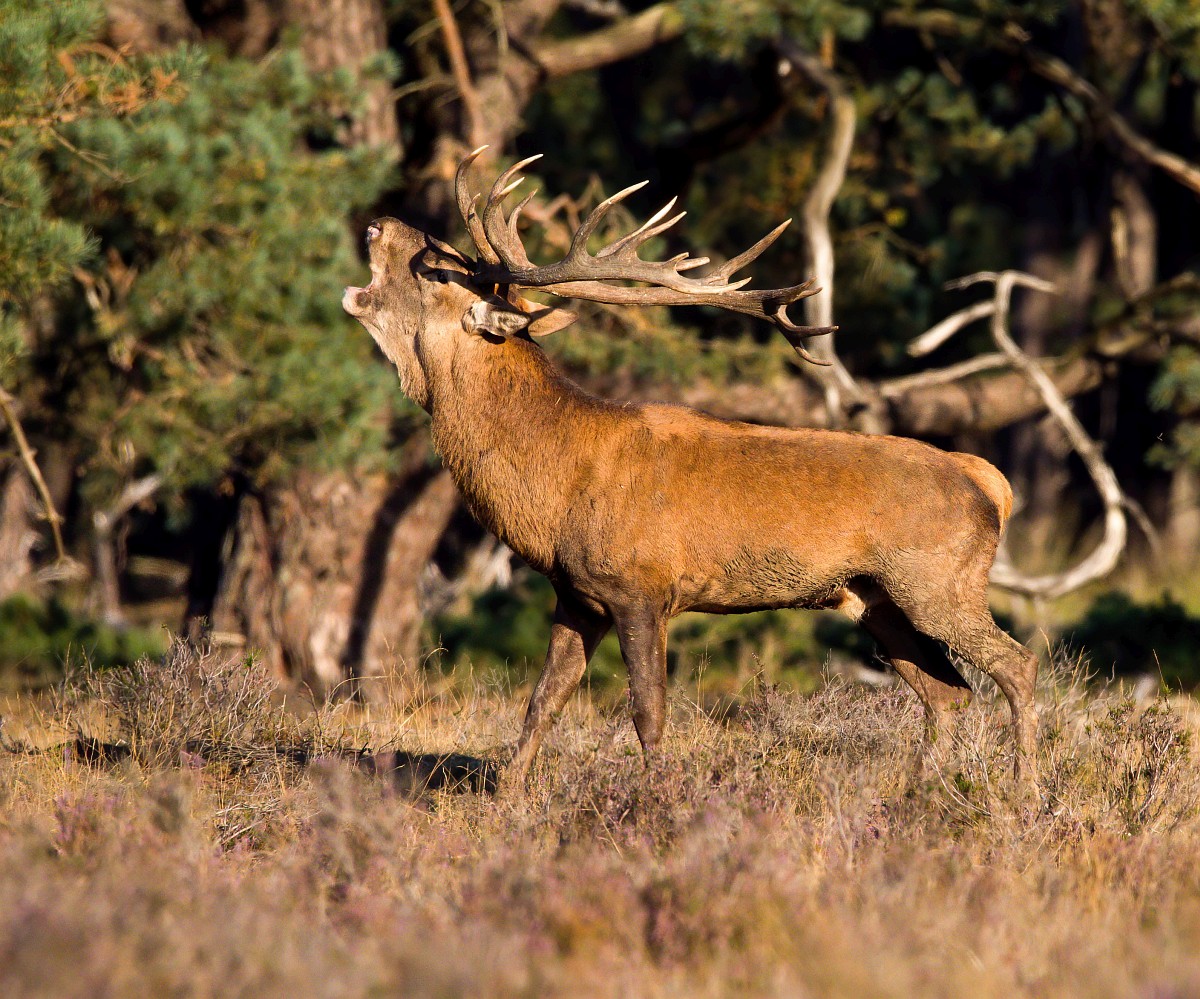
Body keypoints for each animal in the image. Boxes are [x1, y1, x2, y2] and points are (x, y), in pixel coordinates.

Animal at [342, 148, 1039, 797]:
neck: (555, 487)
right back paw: (920, 791)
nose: (377, 221)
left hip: (938, 582)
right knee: (947, 692)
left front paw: (657, 802)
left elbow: (648, 713)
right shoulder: (576, 595)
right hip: (875, 599)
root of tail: (991, 483)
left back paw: (1023, 793)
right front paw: (508, 800)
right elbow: (541, 703)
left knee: (1017, 664)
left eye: (441, 269)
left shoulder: (640, 587)